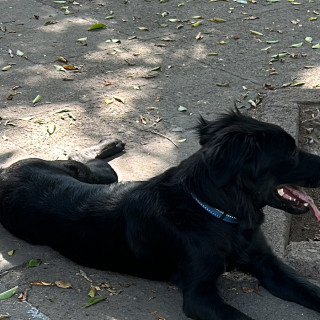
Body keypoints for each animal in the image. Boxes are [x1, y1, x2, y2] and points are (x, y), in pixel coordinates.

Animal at [0, 111, 320, 318]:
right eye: (291, 153)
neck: (213, 212)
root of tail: (6, 172)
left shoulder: (266, 262)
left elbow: (310, 290)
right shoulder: (199, 295)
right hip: (94, 174)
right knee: (77, 154)